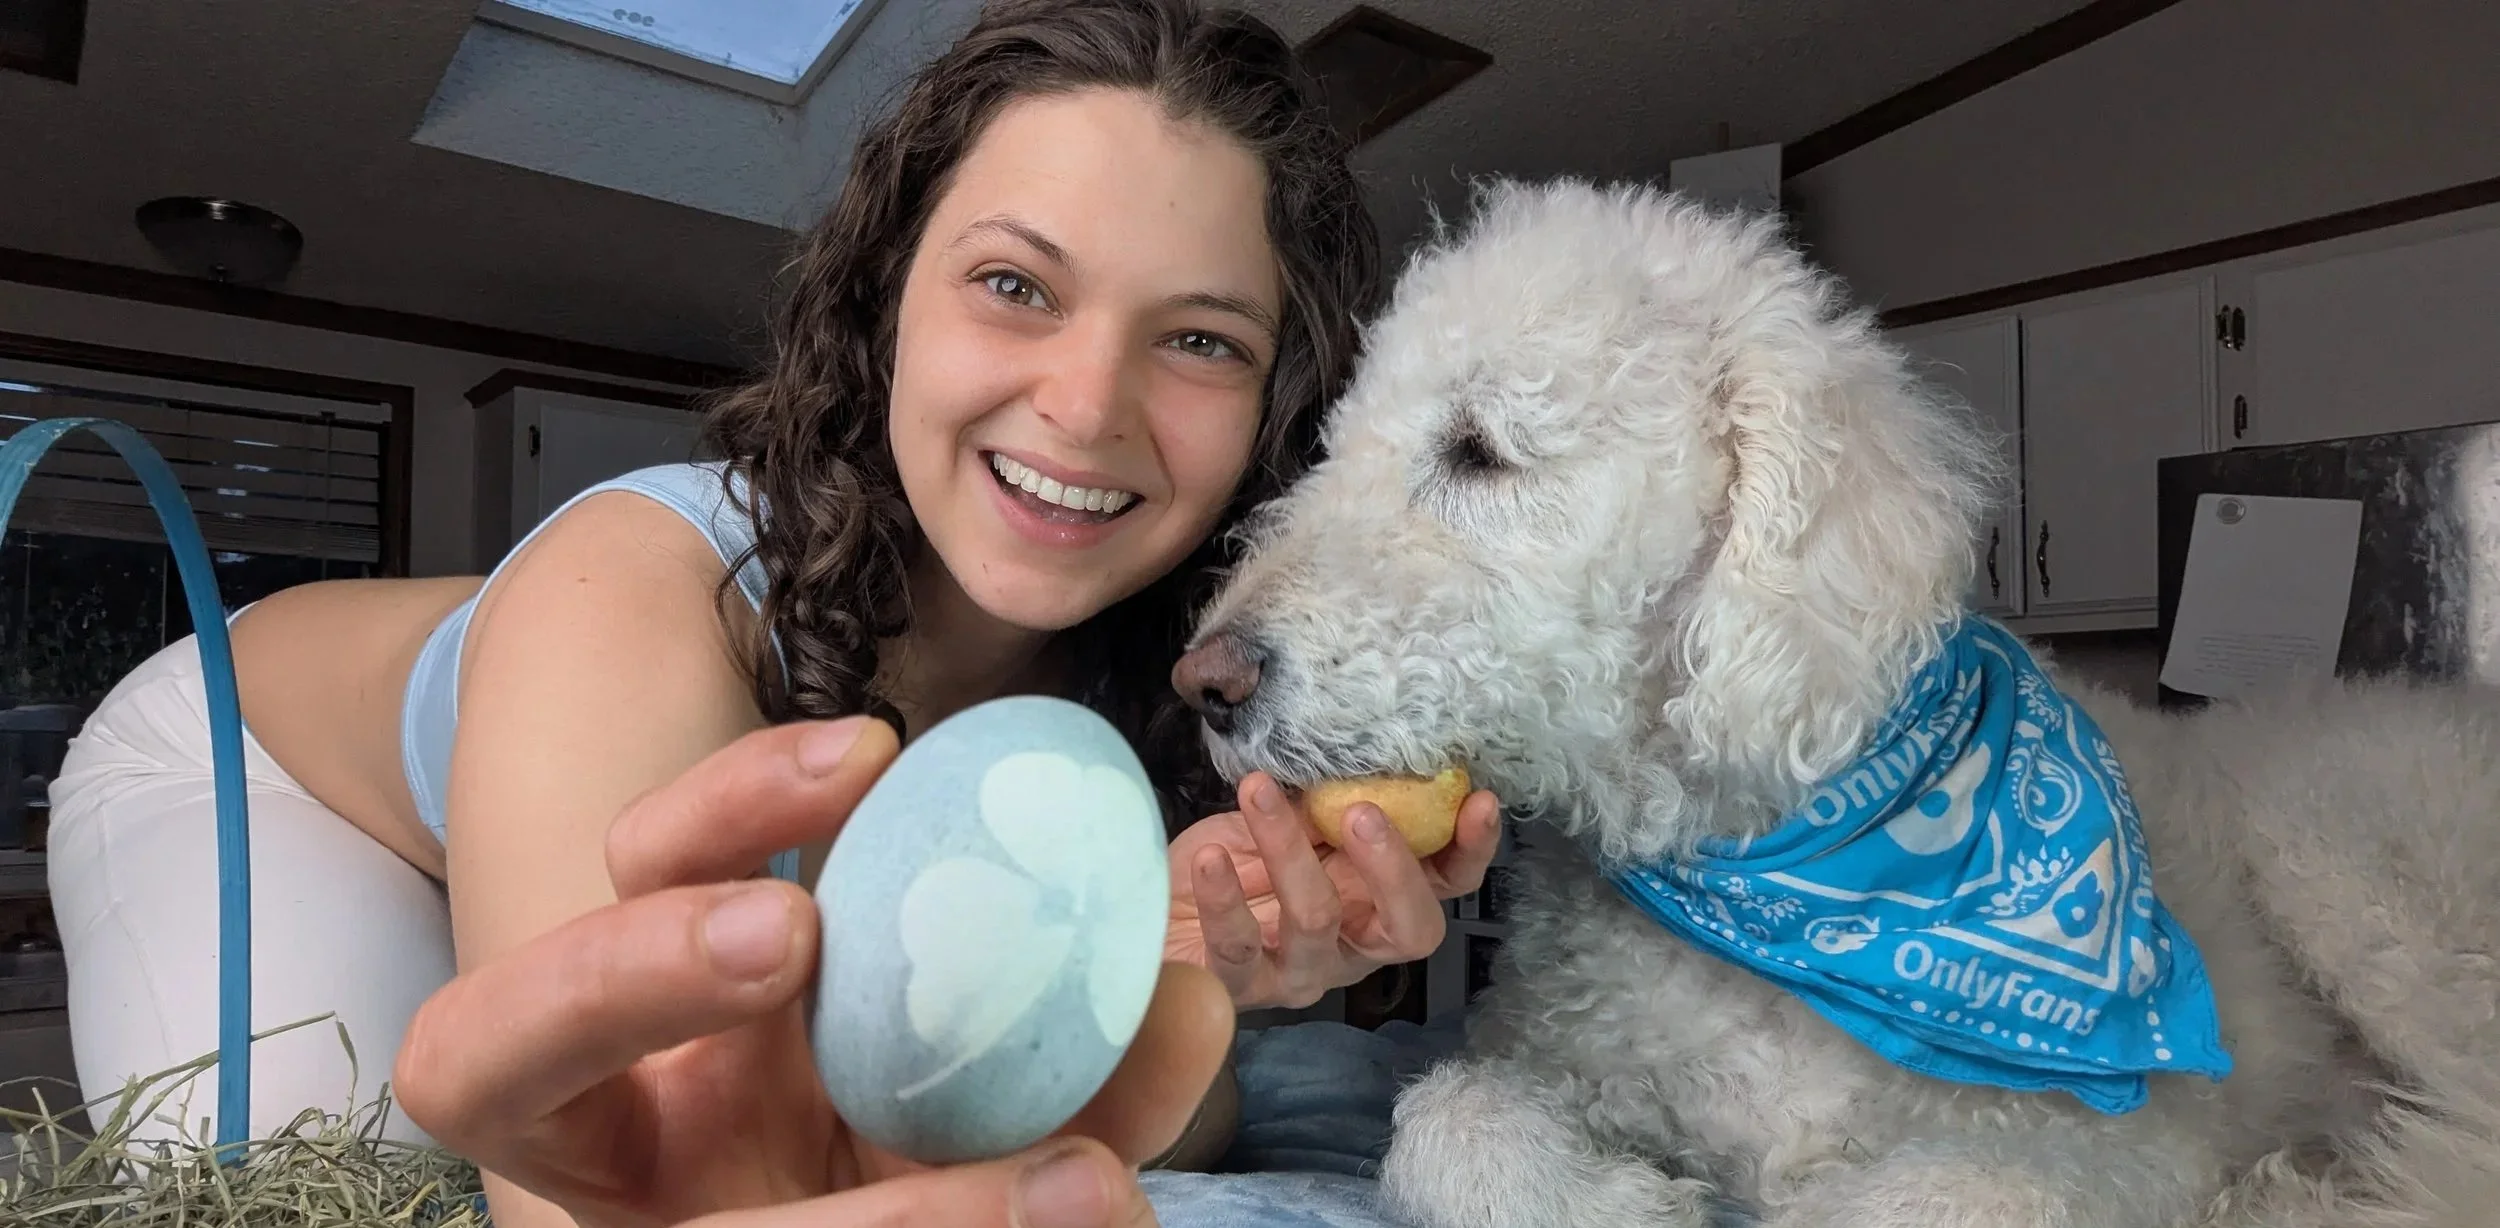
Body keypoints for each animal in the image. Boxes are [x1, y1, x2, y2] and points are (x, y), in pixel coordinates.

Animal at [1171, 178, 2500, 1228]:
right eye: (1335, 445)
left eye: (1480, 450)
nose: (1205, 681)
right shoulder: (1549, 1052)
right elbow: (1439, 1120)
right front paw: (1619, 1199)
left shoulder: (2112, 1142)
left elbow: (1918, 1194)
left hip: (2351, 858)